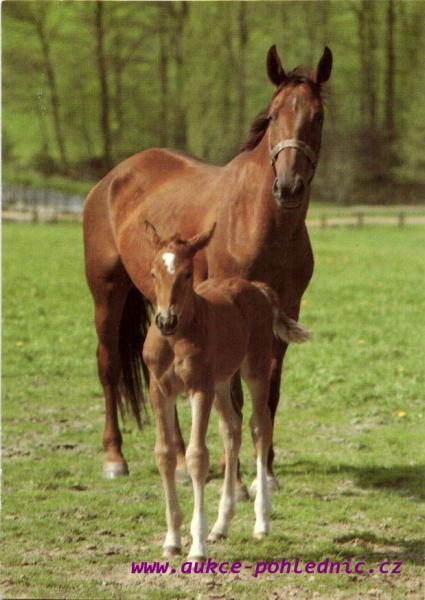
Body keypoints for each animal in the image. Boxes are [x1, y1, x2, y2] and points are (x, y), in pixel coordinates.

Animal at [83, 44, 332, 493]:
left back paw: (182, 461)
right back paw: (115, 458)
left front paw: (266, 473)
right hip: (107, 293)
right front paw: (237, 480)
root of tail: (111, 180)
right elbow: (232, 395)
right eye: (273, 116)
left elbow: (269, 391)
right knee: (108, 366)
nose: (288, 187)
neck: (260, 222)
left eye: (317, 116)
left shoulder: (283, 312)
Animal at [142, 221, 310, 559]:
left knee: (259, 427)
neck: (176, 339)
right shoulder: (159, 390)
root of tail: (256, 288)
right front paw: (172, 540)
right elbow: (164, 454)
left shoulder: (199, 388)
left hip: (254, 368)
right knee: (232, 429)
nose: (166, 320)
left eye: (187, 274)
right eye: (153, 273)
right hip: (221, 381)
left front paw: (197, 547)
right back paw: (221, 525)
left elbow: (197, 456)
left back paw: (261, 522)